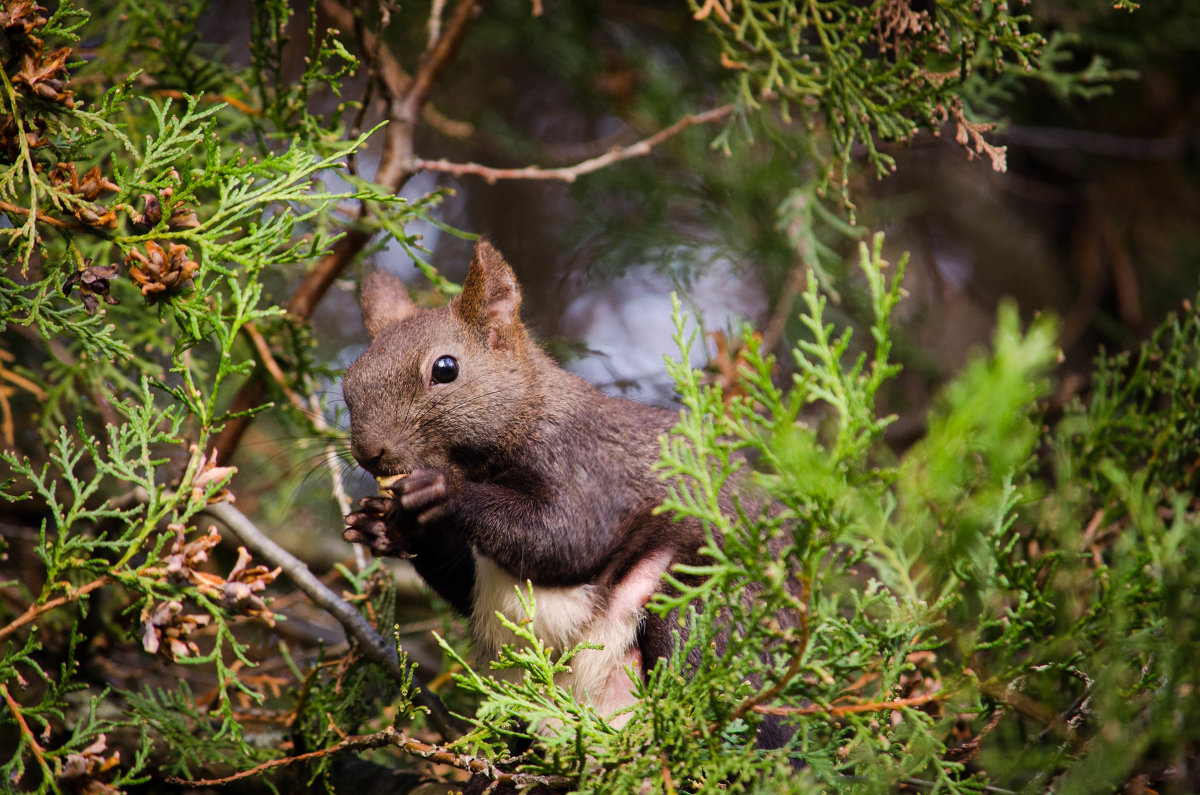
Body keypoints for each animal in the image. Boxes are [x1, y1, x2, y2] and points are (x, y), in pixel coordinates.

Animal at [343, 241, 705, 720]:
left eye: (445, 369)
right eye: (348, 383)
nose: (369, 453)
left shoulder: (588, 467)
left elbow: (566, 537)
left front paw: (445, 493)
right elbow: (461, 579)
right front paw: (383, 527)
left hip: (691, 603)